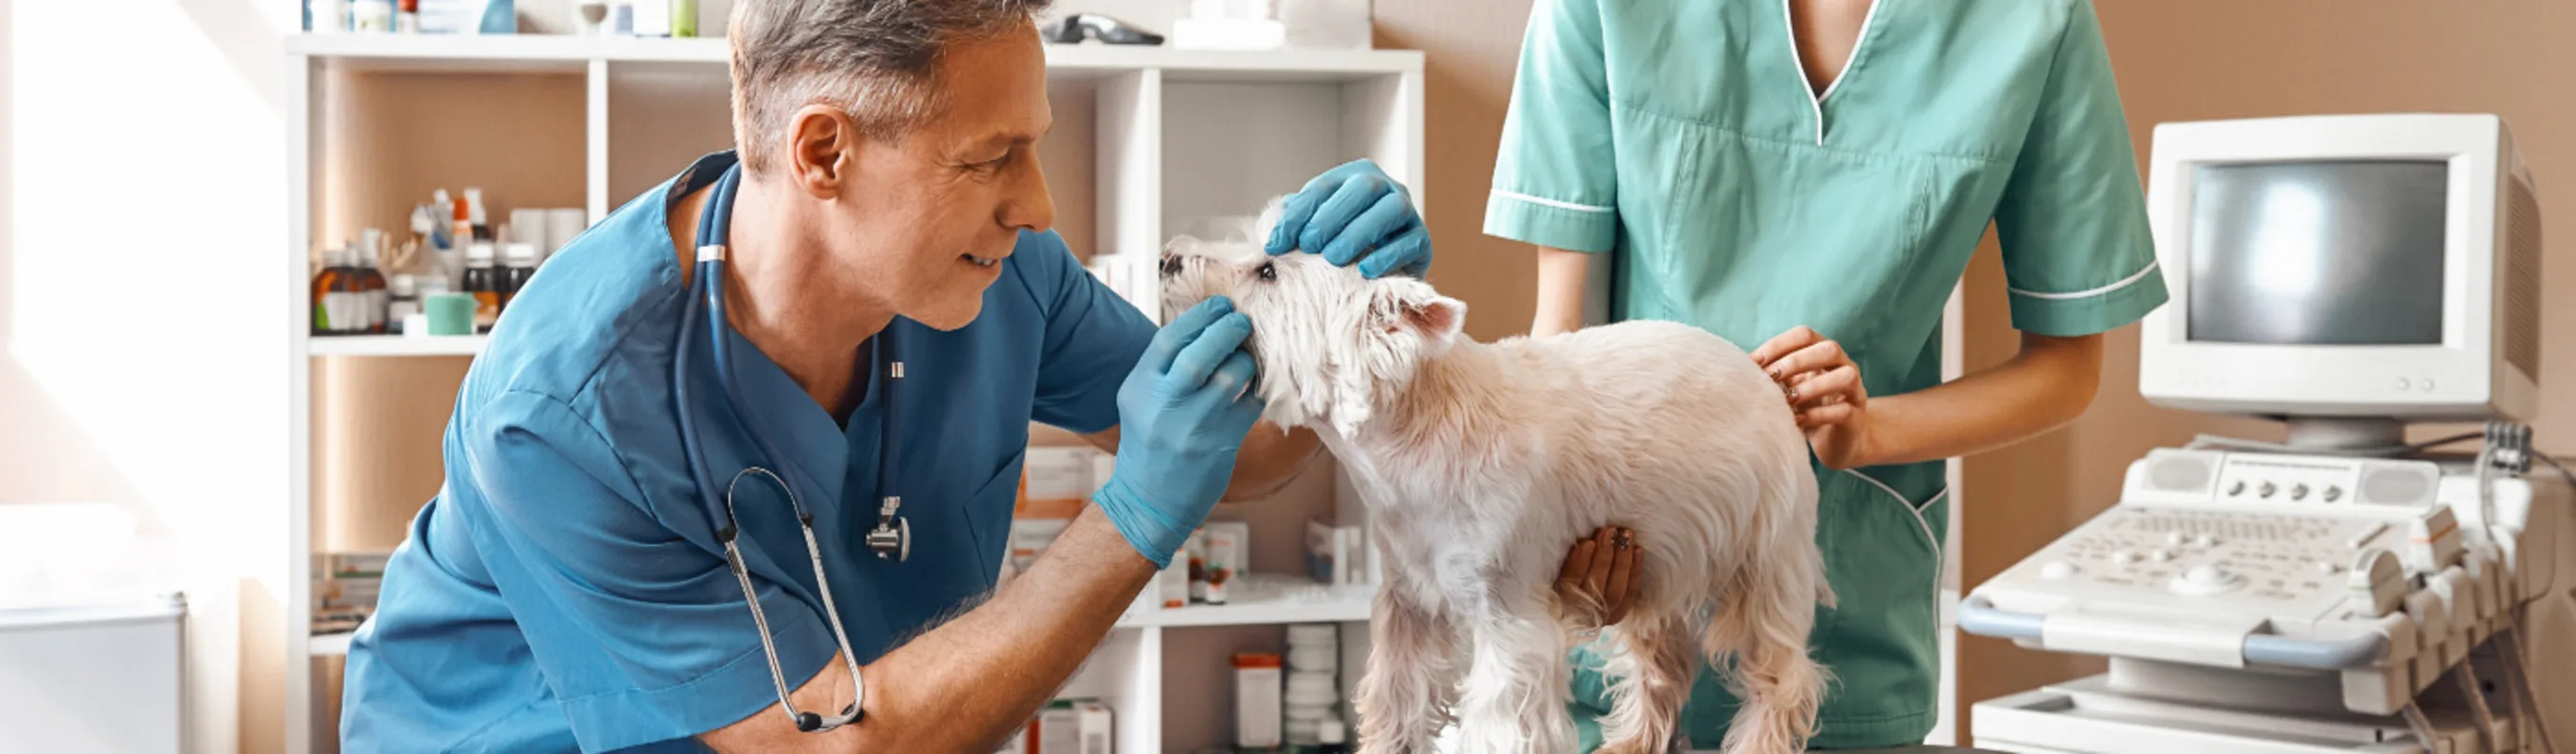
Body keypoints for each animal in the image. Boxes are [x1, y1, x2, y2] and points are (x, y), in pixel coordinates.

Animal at [1169, 202, 1834, 746]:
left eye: (1267, 272)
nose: (1167, 256)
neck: (1413, 444)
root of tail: (1766, 379)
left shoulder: (1509, 618)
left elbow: (1500, 724)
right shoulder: (1410, 603)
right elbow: (1395, 705)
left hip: (1767, 556)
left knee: (1781, 677)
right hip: (1656, 557)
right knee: (1662, 663)